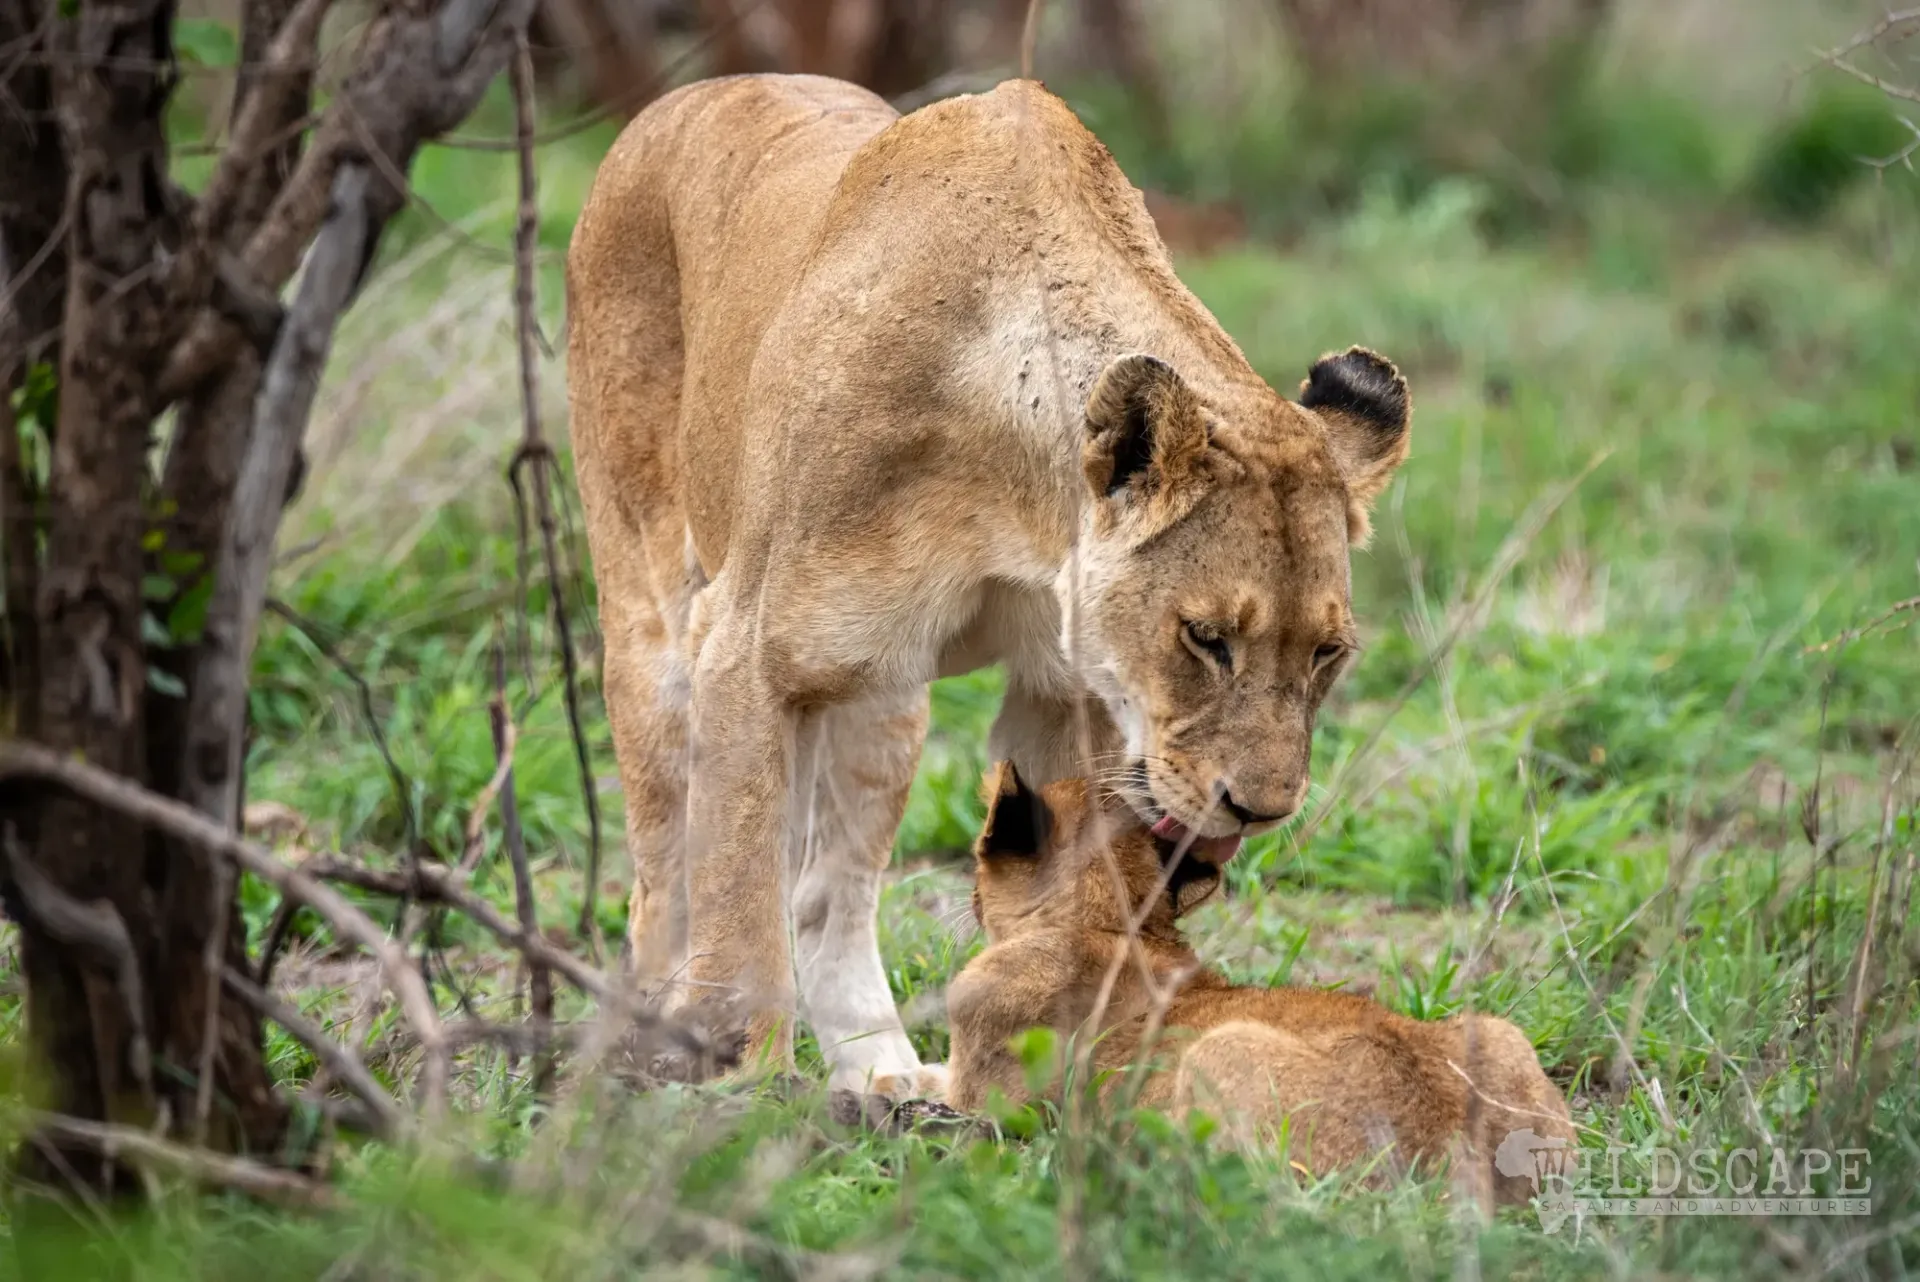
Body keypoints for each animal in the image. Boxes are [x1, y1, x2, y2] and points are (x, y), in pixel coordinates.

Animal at [566, 73, 1412, 1098]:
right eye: (1207, 638)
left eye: (1327, 653)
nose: (1261, 811)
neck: (1021, 510)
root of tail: (686, 96)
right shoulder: (745, 650)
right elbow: (736, 894)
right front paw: (743, 1091)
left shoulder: (1062, 691)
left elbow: (1067, 876)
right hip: (655, 619)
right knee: (667, 871)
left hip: (884, 699)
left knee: (828, 892)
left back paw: (881, 1074)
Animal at [947, 761, 1575, 1204]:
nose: (969, 899)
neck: (1111, 921)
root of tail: (1456, 1164)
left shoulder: (981, 1098)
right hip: (1501, 1036)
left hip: (1221, 1051)